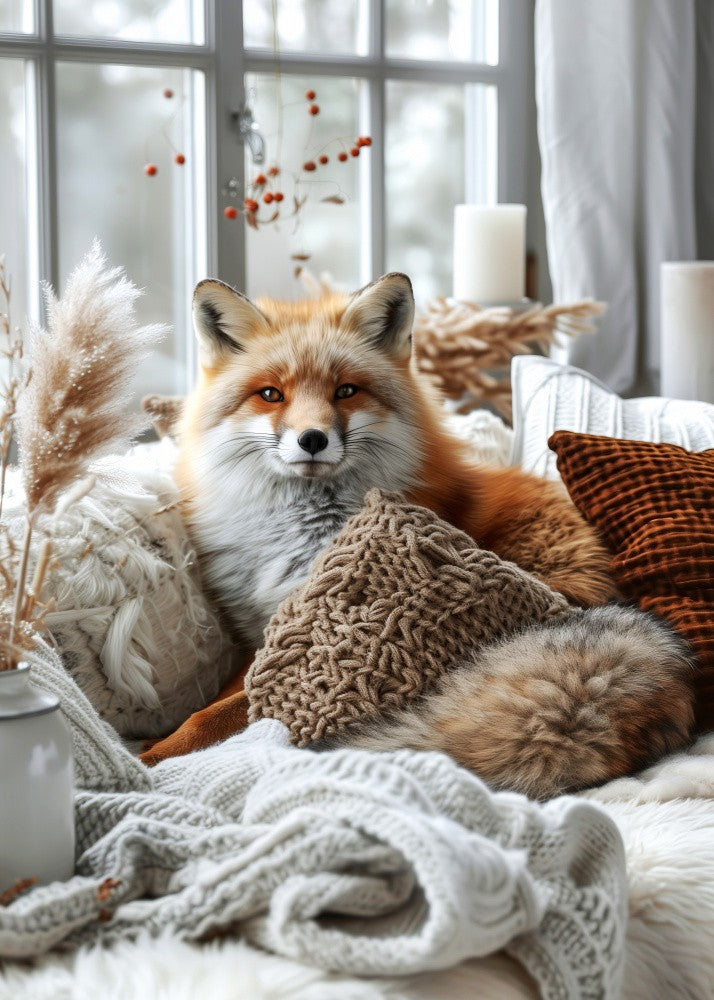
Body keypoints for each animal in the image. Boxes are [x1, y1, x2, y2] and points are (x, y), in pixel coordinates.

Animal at [170, 272, 694, 793]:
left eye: (346, 391)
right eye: (270, 394)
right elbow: (212, 702)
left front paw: (159, 756)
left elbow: (219, 713)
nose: (312, 439)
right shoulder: (260, 635)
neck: (297, 535)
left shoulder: (302, 643)